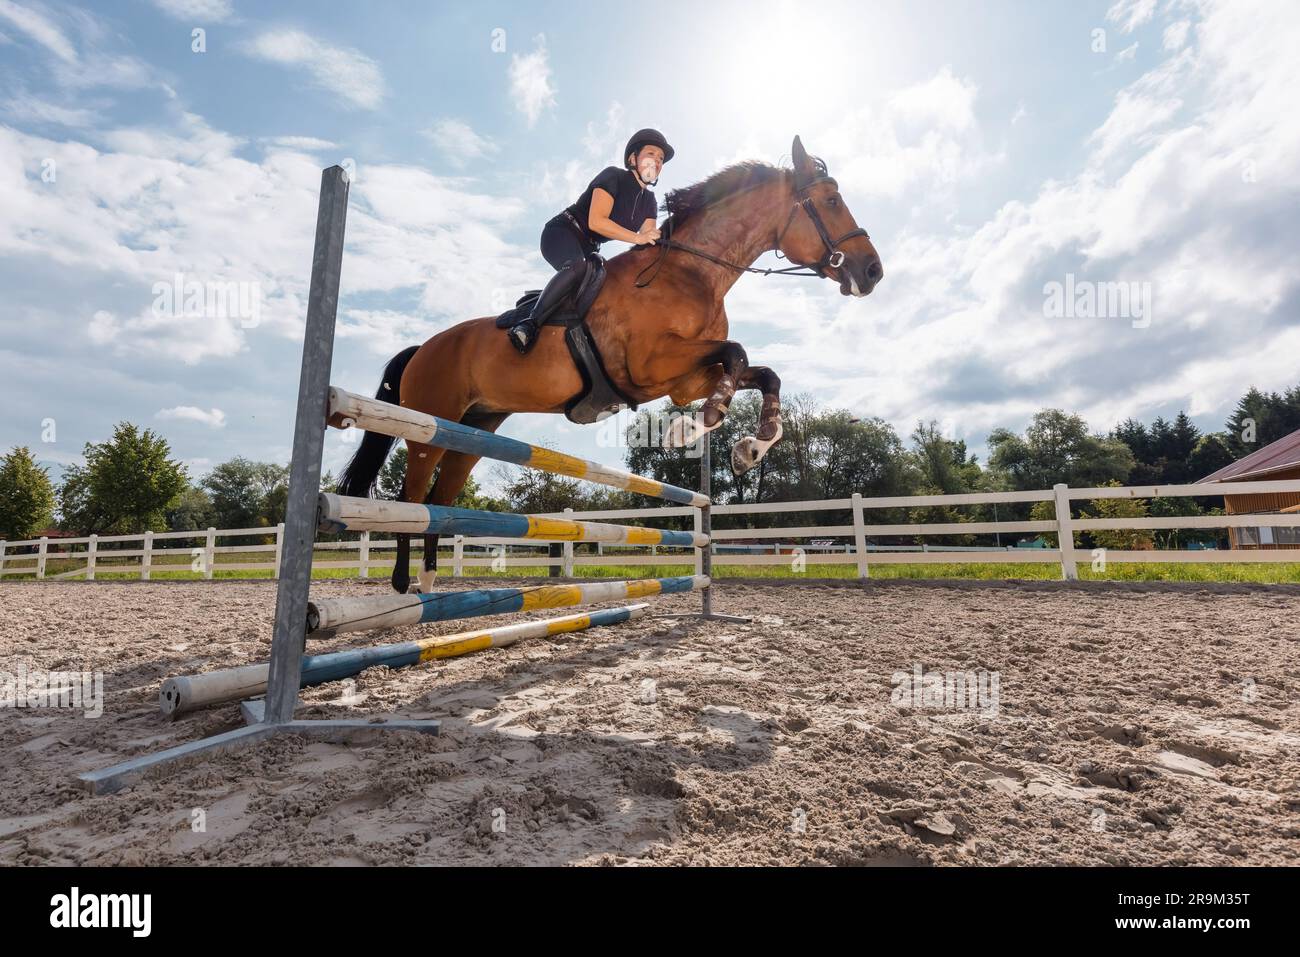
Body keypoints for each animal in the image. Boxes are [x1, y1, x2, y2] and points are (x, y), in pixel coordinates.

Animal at [335, 133, 883, 590]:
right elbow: (738, 353)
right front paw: (691, 428)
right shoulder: (650, 365)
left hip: (476, 427)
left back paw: (428, 582)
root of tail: (422, 348)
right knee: (411, 498)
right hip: (429, 424)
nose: (873, 271)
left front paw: (750, 446)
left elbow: (762, 371)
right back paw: (402, 583)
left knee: (441, 498)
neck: (692, 272)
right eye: (831, 201)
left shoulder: (684, 378)